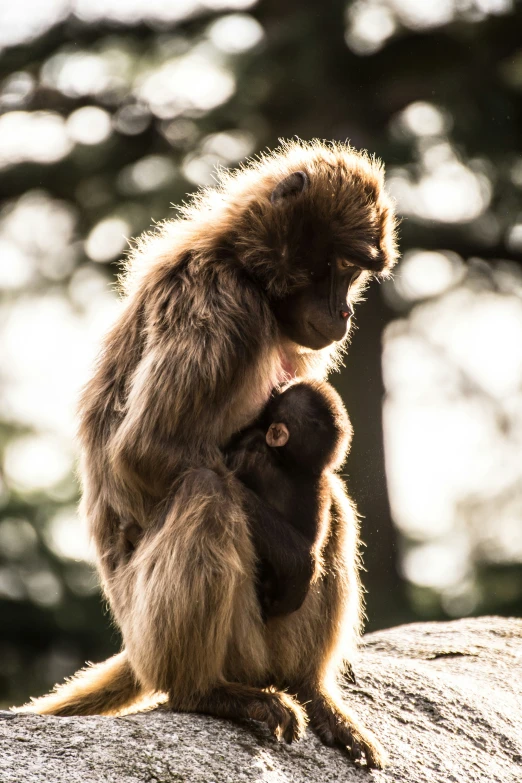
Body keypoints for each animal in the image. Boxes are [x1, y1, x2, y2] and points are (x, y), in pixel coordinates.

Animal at [18, 139, 396, 764]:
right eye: (341, 267)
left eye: (356, 274)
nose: (344, 313)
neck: (246, 265)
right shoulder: (219, 306)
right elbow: (146, 450)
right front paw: (295, 557)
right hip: (169, 632)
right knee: (208, 492)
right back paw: (206, 692)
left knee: (329, 495)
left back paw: (310, 690)